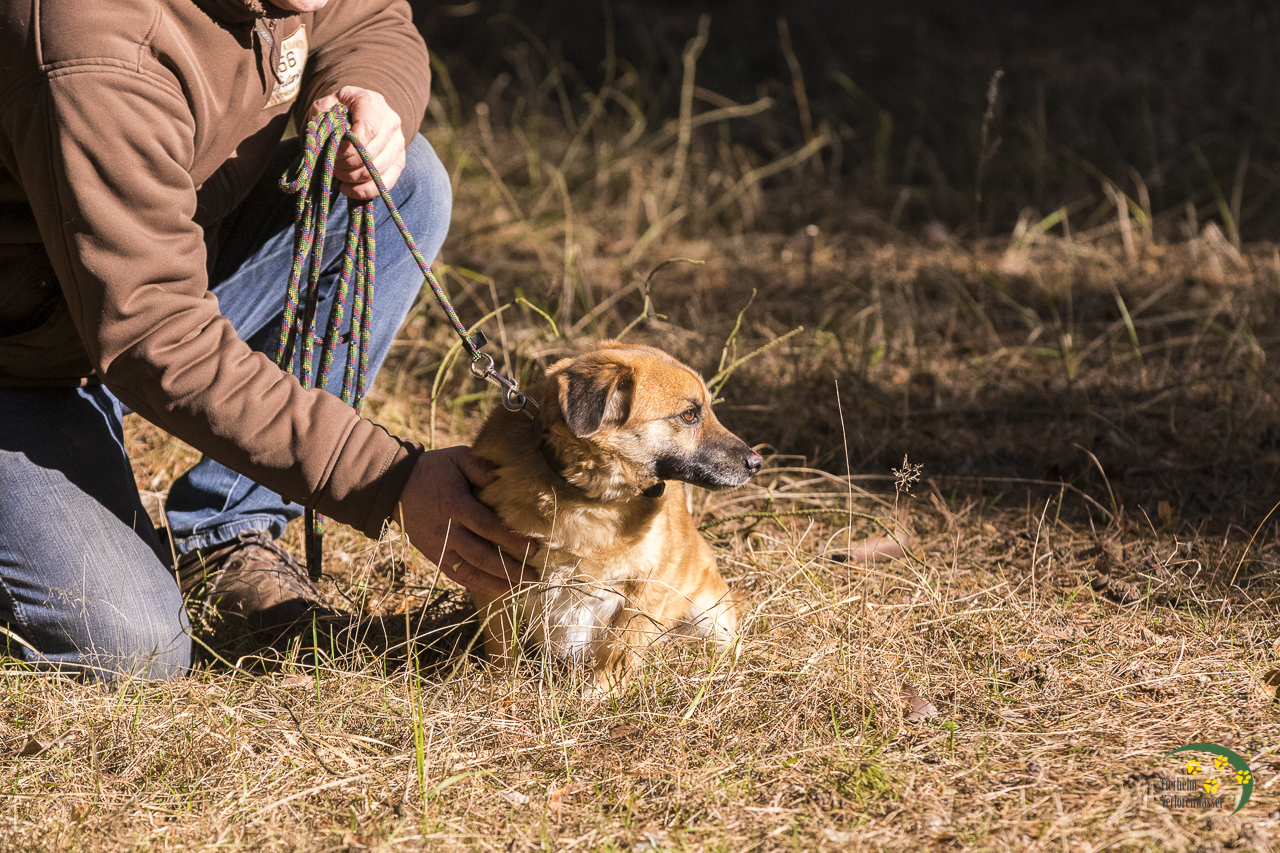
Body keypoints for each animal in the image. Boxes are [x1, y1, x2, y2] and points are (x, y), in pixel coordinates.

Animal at [469, 342, 762, 688]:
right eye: (689, 414)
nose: (757, 463)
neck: (593, 499)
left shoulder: (649, 586)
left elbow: (618, 650)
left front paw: (598, 693)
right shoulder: (494, 581)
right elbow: (502, 653)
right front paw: (504, 690)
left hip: (711, 618)